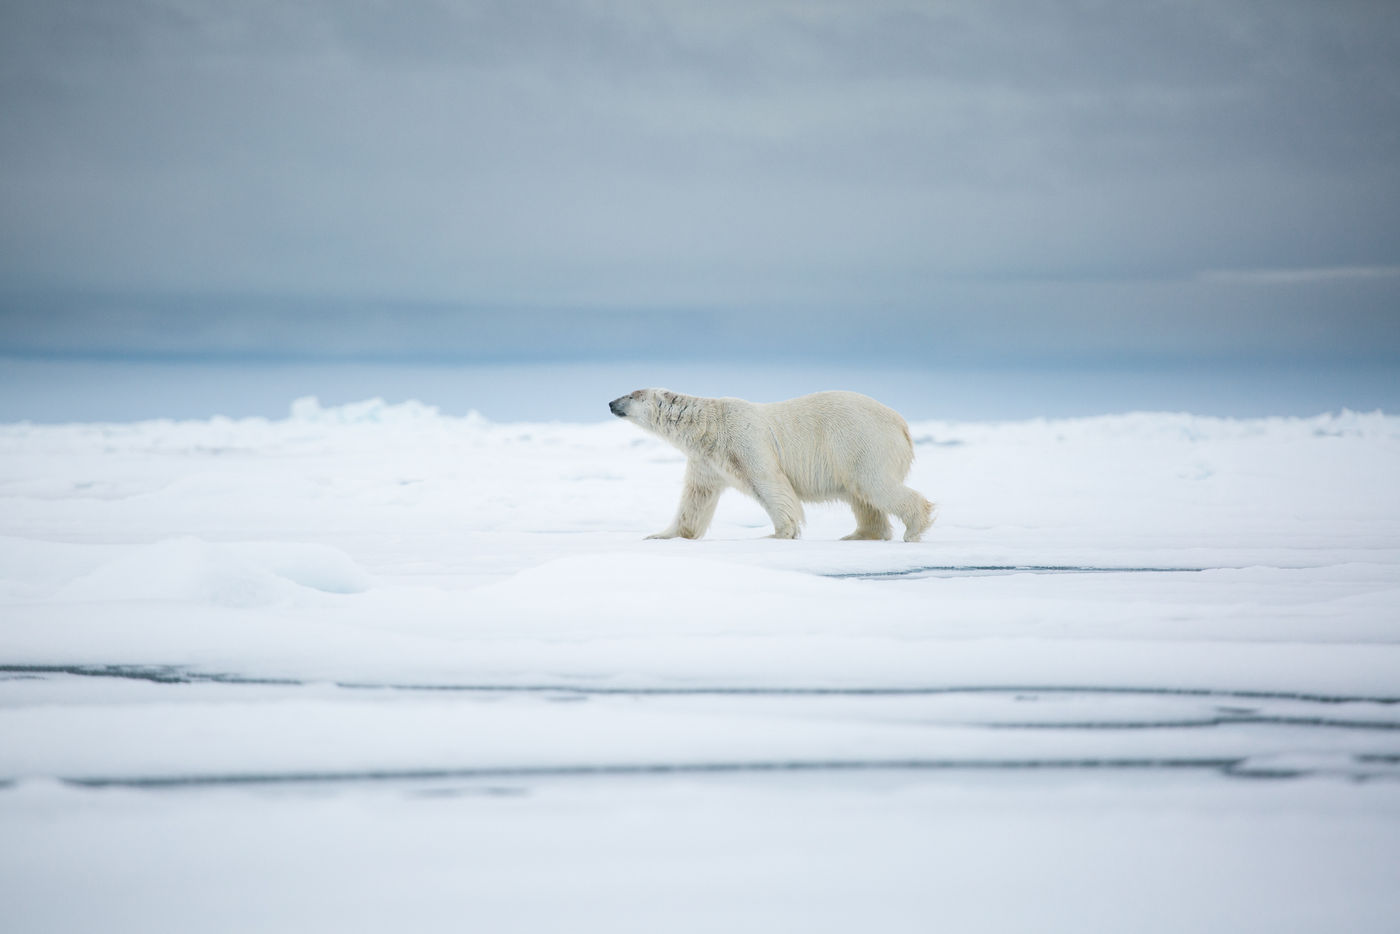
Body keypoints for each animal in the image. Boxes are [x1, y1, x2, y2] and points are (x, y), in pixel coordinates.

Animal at [607, 392, 935, 543]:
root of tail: (902, 425)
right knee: (863, 497)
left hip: (862, 441)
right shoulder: (706, 461)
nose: (610, 403)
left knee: (873, 485)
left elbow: (769, 482)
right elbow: (696, 498)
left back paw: (913, 528)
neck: (709, 425)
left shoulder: (743, 440)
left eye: (631, 394)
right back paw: (860, 534)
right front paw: (662, 535)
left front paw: (777, 534)